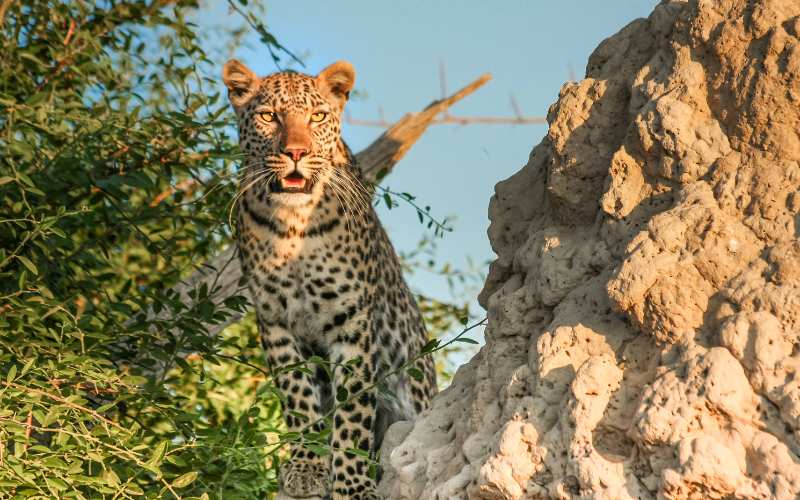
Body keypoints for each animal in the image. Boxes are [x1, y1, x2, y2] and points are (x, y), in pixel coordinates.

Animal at [222, 59, 438, 500]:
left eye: (317, 117)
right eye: (269, 116)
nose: (296, 153)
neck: (293, 224)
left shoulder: (351, 322)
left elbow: (352, 413)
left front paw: (352, 484)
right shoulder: (275, 321)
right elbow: (298, 397)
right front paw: (306, 468)